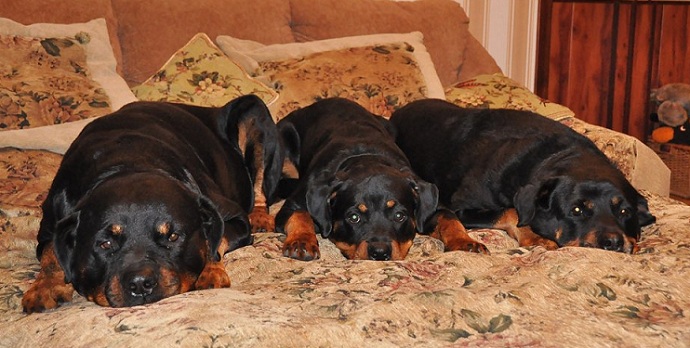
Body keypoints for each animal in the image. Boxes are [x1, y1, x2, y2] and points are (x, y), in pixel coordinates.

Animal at [21, 94, 280, 312]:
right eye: (105, 244)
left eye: (173, 237)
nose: (140, 283)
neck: (125, 164)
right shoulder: (52, 224)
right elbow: (51, 253)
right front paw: (44, 287)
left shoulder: (232, 215)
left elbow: (213, 241)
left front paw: (210, 270)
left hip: (253, 111)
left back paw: (260, 217)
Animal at [272, 98, 486, 260]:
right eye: (354, 217)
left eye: (399, 216)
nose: (380, 252)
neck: (366, 157)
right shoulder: (294, 203)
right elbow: (300, 215)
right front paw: (301, 241)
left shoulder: (432, 207)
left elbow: (449, 219)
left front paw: (465, 241)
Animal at [390, 99, 652, 254]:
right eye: (577, 210)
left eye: (625, 211)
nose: (613, 242)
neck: (549, 157)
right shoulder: (461, 208)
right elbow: (512, 211)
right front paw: (535, 237)